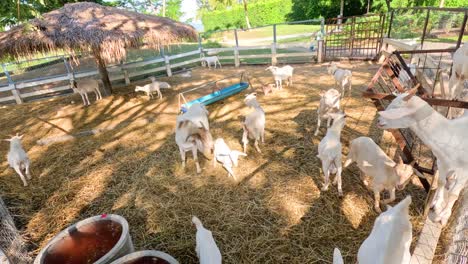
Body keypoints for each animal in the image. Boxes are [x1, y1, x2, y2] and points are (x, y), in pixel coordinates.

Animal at [378, 86, 468, 225]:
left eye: (396, 108)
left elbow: (454, 194)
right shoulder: (442, 162)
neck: (451, 137)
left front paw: (443, 216)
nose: (379, 120)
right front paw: (437, 205)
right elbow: (441, 182)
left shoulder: (464, 171)